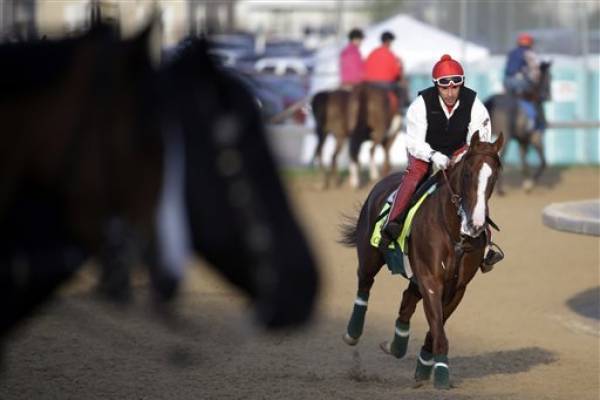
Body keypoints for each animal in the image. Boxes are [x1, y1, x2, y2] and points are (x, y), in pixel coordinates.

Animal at [340, 133, 504, 390]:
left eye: (494, 175)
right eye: (468, 173)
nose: (476, 225)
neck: (454, 232)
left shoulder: (457, 287)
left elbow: (437, 327)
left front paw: (426, 367)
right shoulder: (431, 280)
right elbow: (438, 326)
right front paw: (442, 375)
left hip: (415, 278)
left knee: (407, 300)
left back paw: (396, 346)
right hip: (370, 256)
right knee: (364, 285)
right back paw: (353, 333)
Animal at [486, 59, 552, 195]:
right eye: (550, 77)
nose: (548, 96)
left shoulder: (523, 140)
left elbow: (524, 161)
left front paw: (527, 183)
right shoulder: (535, 137)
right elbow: (543, 162)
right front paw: (531, 183)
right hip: (506, 136)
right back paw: (500, 190)